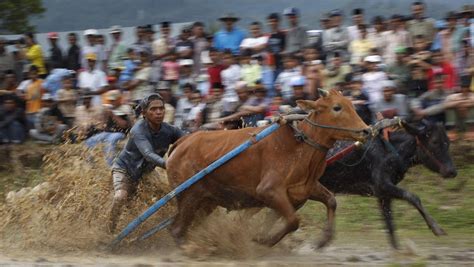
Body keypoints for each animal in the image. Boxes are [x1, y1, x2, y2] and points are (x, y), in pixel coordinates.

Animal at [167, 90, 370, 249]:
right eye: (337, 107)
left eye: (351, 104)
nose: (366, 130)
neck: (300, 145)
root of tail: (181, 142)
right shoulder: (269, 191)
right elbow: (293, 221)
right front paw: (262, 240)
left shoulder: (304, 189)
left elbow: (331, 201)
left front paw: (323, 240)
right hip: (189, 196)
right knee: (176, 230)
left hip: (207, 202)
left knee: (184, 227)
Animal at [320, 121, 458, 249]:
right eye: (434, 142)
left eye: (447, 142)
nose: (452, 171)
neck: (393, 152)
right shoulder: (382, 185)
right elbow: (413, 197)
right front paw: (436, 228)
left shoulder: (383, 195)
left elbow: (390, 225)